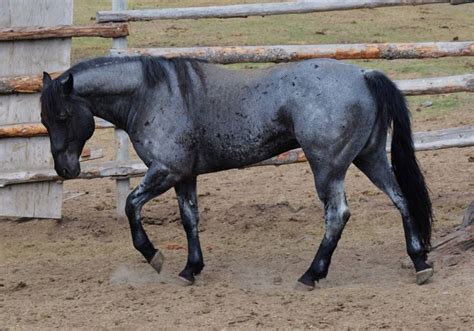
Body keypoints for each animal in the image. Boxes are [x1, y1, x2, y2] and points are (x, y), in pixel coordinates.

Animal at [40, 57, 434, 290]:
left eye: (62, 116)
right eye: (44, 119)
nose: (65, 169)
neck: (152, 94)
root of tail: (364, 75)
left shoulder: (166, 171)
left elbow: (131, 206)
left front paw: (154, 256)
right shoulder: (184, 177)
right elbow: (189, 219)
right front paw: (191, 268)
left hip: (328, 168)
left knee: (337, 216)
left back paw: (311, 274)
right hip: (370, 159)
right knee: (401, 200)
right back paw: (419, 262)